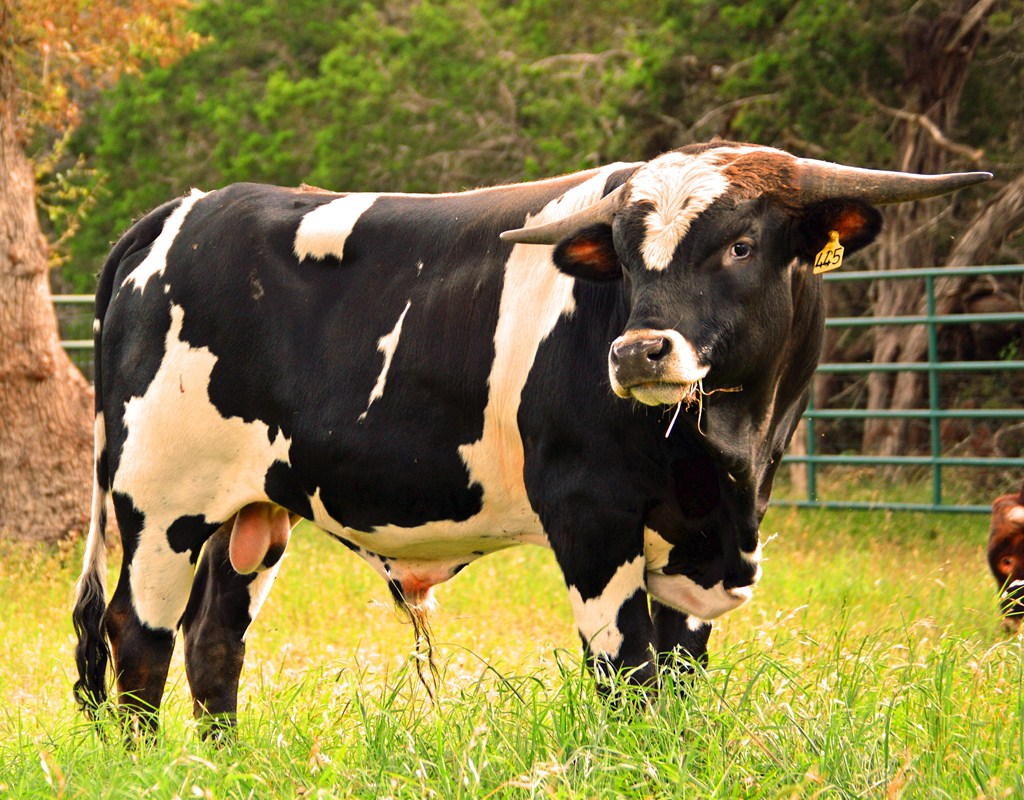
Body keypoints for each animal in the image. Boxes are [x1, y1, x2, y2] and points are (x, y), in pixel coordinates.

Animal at [72, 140, 989, 733]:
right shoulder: (591, 516)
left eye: (741, 243)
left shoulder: (702, 541)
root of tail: (184, 210)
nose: (638, 350)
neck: (727, 457)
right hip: (160, 501)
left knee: (213, 643)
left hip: (253, 509)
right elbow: (628, 676)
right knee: (138, 639)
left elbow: (680, 680)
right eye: (624, 256)